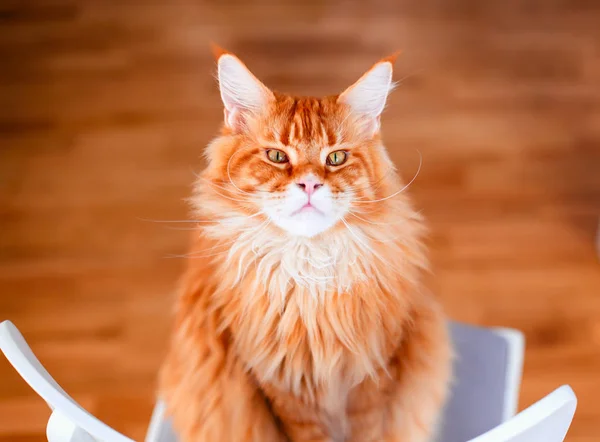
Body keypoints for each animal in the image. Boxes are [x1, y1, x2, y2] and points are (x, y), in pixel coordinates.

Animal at [159, 46, 450, 440]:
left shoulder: (374, 375)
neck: (310, 272)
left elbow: (370, 431)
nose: (310, 184)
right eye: (277, 156)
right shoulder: (283, 388)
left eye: (336, 158)